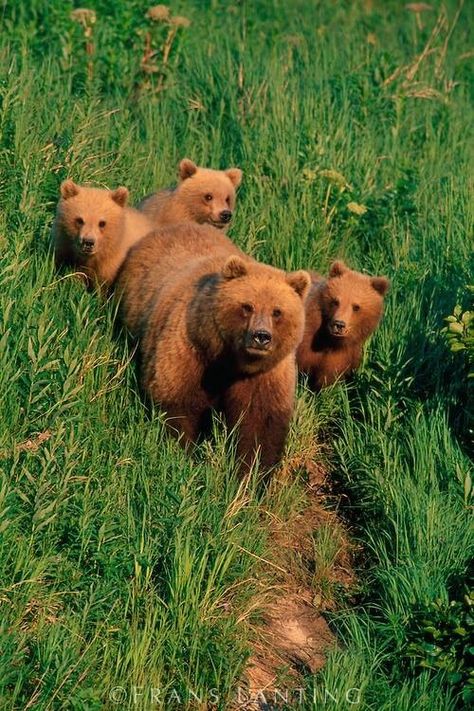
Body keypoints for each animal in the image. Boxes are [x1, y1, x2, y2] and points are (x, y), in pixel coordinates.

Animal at [117, 225, 312, 476]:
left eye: (277, 311)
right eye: (247, 306)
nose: (261, 336)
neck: (229, 360)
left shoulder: (266, 375)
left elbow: (259, 423)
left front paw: (250, 473)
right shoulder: (190, 351)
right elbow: (178, 403)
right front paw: (183, 456)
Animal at [296, 262, 388, 392]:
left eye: (356, 307)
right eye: (335, 301)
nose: (339, 324)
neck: (328, 340)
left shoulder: (344, 356)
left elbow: (329, 379)